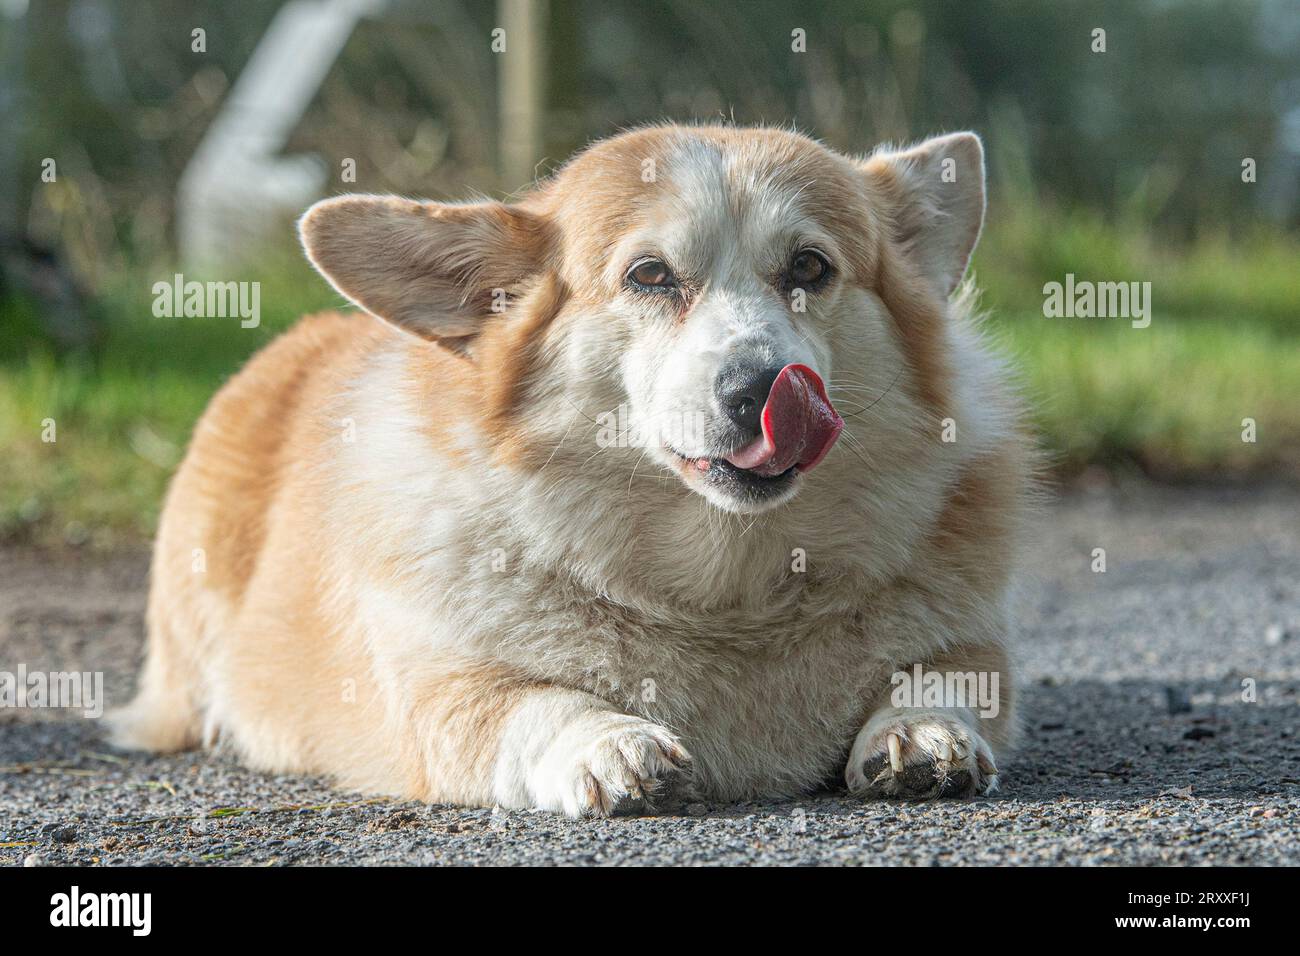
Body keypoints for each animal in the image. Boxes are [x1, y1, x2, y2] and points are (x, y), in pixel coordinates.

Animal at [111, 125, 1029, 816]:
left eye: (810, 267)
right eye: (650, 275)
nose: (759, 390)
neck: (724, 582)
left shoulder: (972, 641)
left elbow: (943, 678)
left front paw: (923, 735)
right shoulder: (441, 693)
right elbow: (531, 701)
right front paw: (610, 743)